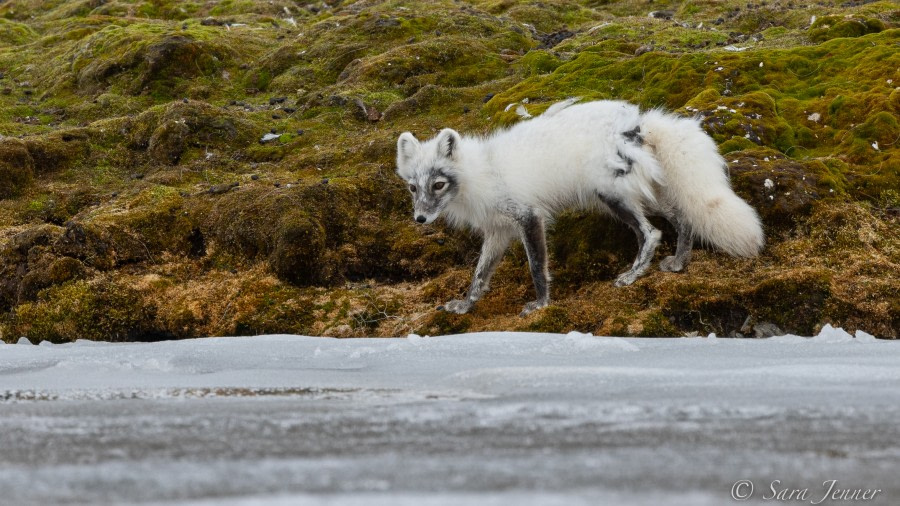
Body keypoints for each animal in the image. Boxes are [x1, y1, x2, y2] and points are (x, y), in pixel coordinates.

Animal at [398, 99, 764, 316]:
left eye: (438, 184)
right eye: (413, 187)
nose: (420, 218)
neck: (481, 172)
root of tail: (638, 125)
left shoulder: (528, 217)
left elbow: (537, 267)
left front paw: (541, 304)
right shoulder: (498, 231)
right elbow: (480, 273)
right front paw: (465, 304)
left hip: (612, 195)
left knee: (651, 233)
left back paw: (632, 275)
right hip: (643, 194)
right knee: (682, 219)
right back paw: (678, 263)